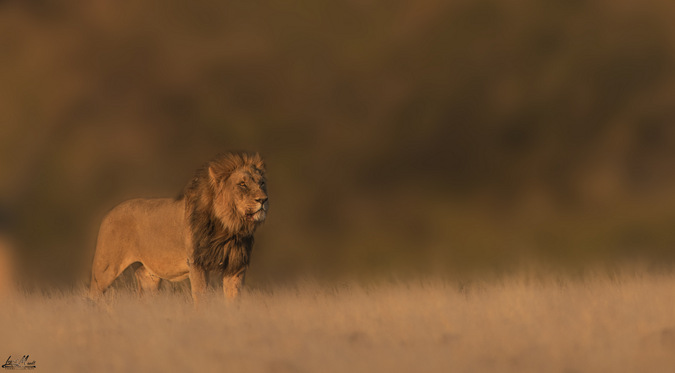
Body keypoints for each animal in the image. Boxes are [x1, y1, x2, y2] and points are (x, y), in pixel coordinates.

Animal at [88, 151, 268, 302]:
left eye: (262, 183)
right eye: (242, 184)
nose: (263, 199)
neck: (229, 226)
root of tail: (109, 212)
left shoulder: (236, 266)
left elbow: (234, 300)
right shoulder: (197, 264)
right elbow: (202, 298)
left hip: (149, 277)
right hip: (105, 269)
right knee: (92, 296)